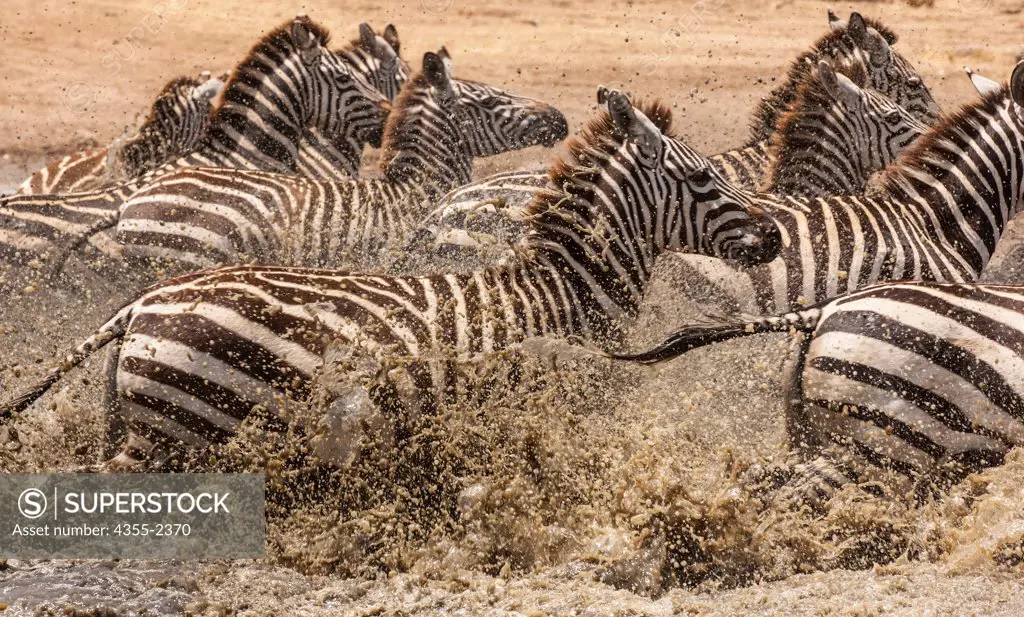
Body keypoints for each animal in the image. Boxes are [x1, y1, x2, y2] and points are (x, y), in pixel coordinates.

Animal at [2, 89, 782, 470]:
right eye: (703, 179)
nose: (774, 235)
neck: (560, 292)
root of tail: (141, 306)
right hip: (183, 429)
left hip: (149, 423)